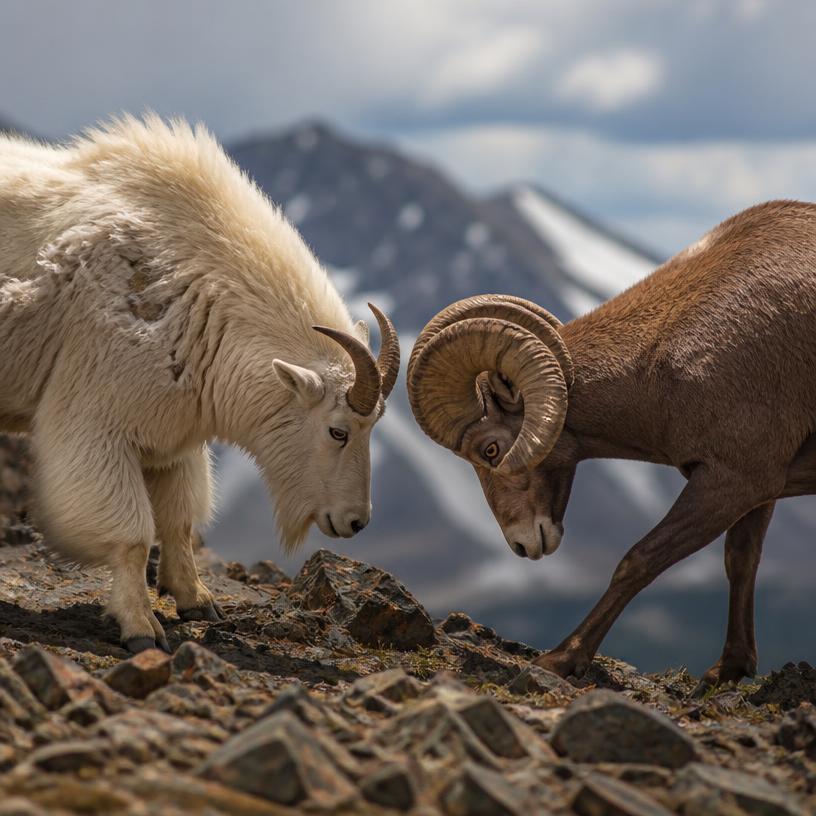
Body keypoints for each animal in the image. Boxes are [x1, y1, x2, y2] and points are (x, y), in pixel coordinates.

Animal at [0, 115, 400, 652]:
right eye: (338, 430)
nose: (356, 521)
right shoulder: (95, 422)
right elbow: (131, 533)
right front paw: (141, 628)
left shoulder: (171, 437)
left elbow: (179, 518)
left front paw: (197, 601)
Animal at [407, 200, 816, 689]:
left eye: (490, 449)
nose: (523, 546)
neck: (660, 362)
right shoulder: (757, 488)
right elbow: (740, 561)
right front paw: (729, 669)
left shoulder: (732, 481)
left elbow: (638, 560)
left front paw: (560, 659)